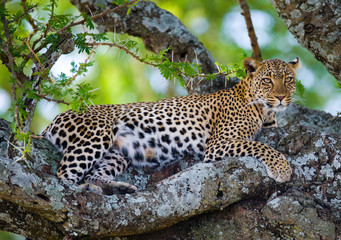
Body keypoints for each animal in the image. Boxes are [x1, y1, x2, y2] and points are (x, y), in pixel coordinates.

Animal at [41, 57, 298, 194]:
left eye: (288, 80)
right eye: (267, 80)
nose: (281, 97)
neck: (265, 111)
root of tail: (53, 121)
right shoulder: (218, 143)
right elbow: (260, 146)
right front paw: (282, 168)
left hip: (118, 153)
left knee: (93, 174)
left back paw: (118, 187)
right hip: (97, 133)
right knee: (64, 175)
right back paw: (84, 189)